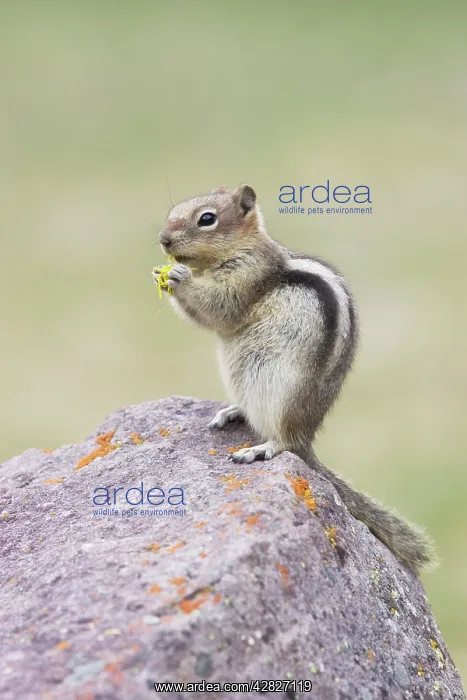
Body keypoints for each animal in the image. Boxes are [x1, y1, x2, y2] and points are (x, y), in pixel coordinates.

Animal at [153, 184, 435, 574]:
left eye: (206, 219)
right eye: (174, 211)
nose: (163, 240)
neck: (241, 248)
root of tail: (307, 438)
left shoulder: (247, 277)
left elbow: (220, 307)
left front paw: (179, 276)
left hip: (280, 396)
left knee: (284, 443)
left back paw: (261, 448)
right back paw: (233, 412)